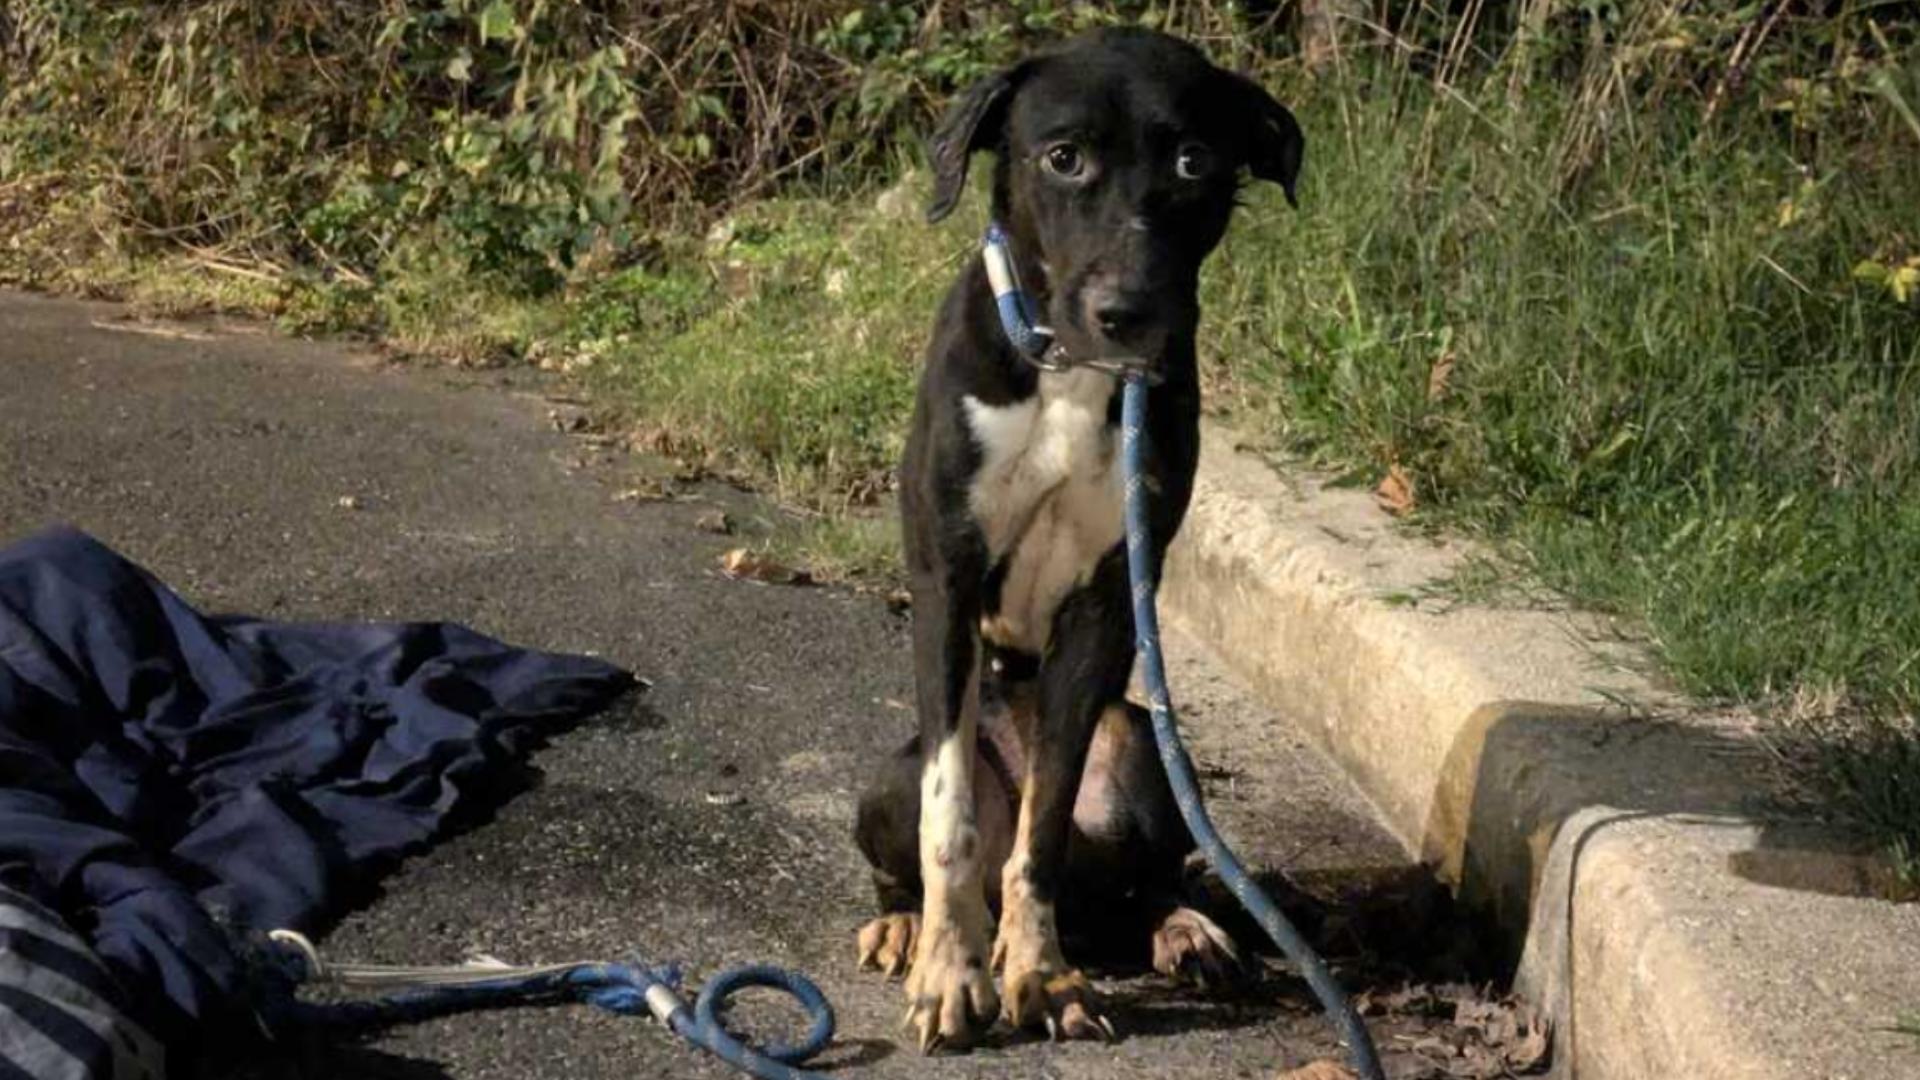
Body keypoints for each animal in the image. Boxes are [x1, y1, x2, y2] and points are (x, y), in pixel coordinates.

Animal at [856, 25, 1305, 1045]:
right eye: (1063, 157)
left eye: (1194, 161)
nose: (1129, 314)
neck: (1066, 371)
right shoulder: (947, 578)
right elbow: (953, 821)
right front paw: (951, 971)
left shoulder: (1106, 600)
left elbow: (1045, 828)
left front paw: (1042, 974)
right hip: (884, 780)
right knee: (922, 840)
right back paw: (903, 925)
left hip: (1140, 747)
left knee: (1140, 876)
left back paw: (1185, 930)